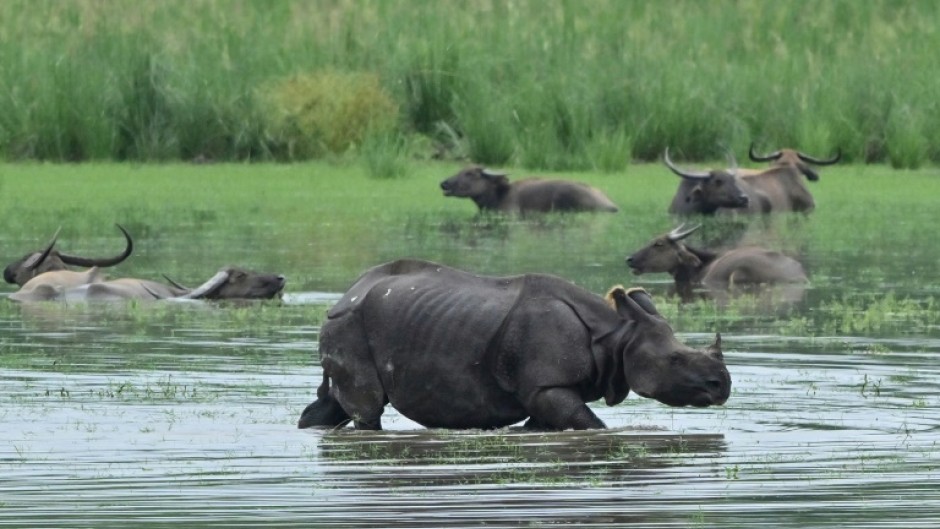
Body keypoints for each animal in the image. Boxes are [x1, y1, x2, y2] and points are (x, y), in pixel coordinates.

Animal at [297, 259, 730, 431]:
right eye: (675, 359)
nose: (722, 385)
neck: (616, 335)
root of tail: (347, 294)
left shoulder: (544, 390)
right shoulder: (546, 385)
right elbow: (592, 426)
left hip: (355, 322)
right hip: (350, 324)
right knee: (367, 407)